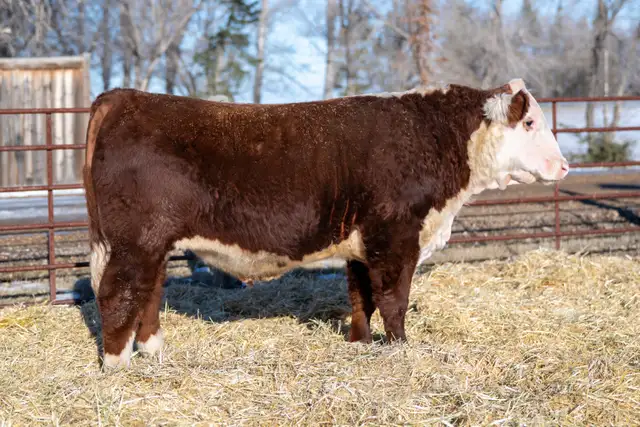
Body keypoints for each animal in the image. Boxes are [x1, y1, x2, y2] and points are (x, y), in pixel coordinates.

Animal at [83, 78, 569, 369]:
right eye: (530, 122)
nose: (563, 166)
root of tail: (125, 96)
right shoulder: (395, 239)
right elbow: (393, 299)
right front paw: (400, 348)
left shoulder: (362, 244)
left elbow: (361, 298)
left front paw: (360, 343)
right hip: (135, 241)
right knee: (118, 293)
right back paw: (118, 365)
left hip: (153, 244)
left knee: (148, 291)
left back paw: (152, 350)